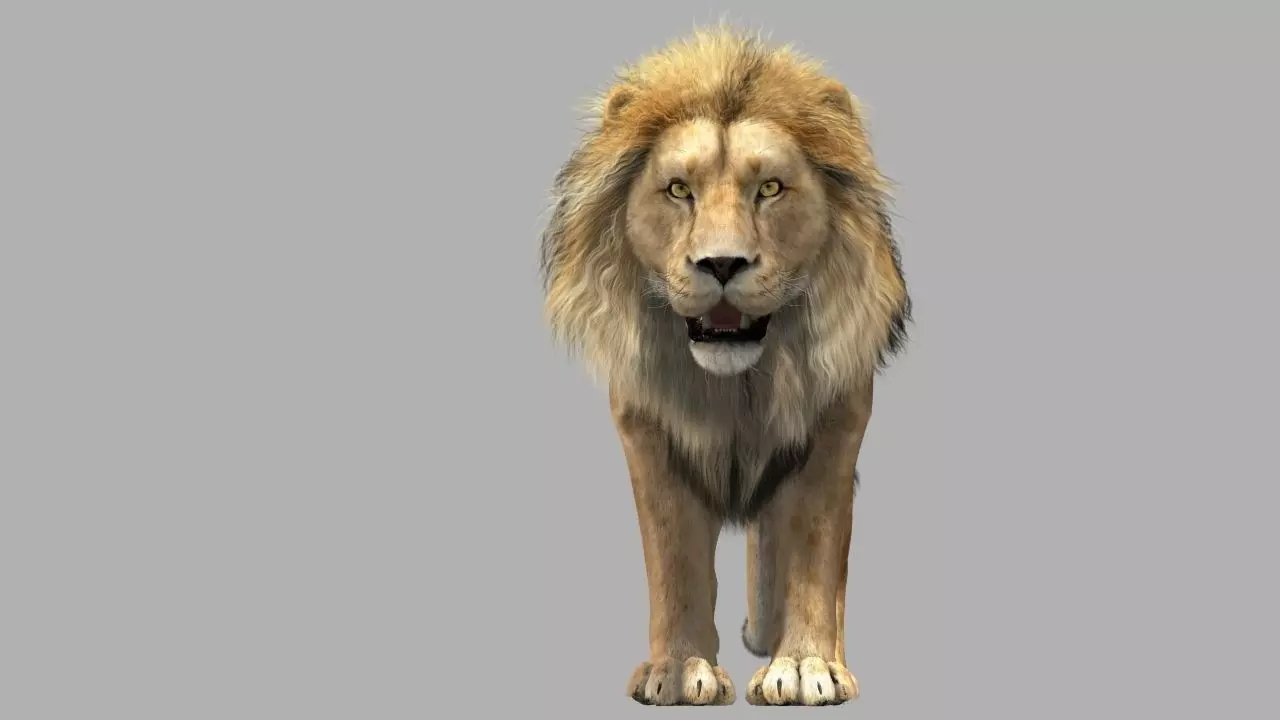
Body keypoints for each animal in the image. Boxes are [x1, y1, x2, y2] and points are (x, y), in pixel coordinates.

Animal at [539, 26, 911, 706]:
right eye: (678, 190)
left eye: (770, 188)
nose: (721, 263)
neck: (740, 386)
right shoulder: (649, 434)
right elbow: (675, 561)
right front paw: (680, 670)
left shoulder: (835, 430)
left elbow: (815, 553)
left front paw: (807, 666)